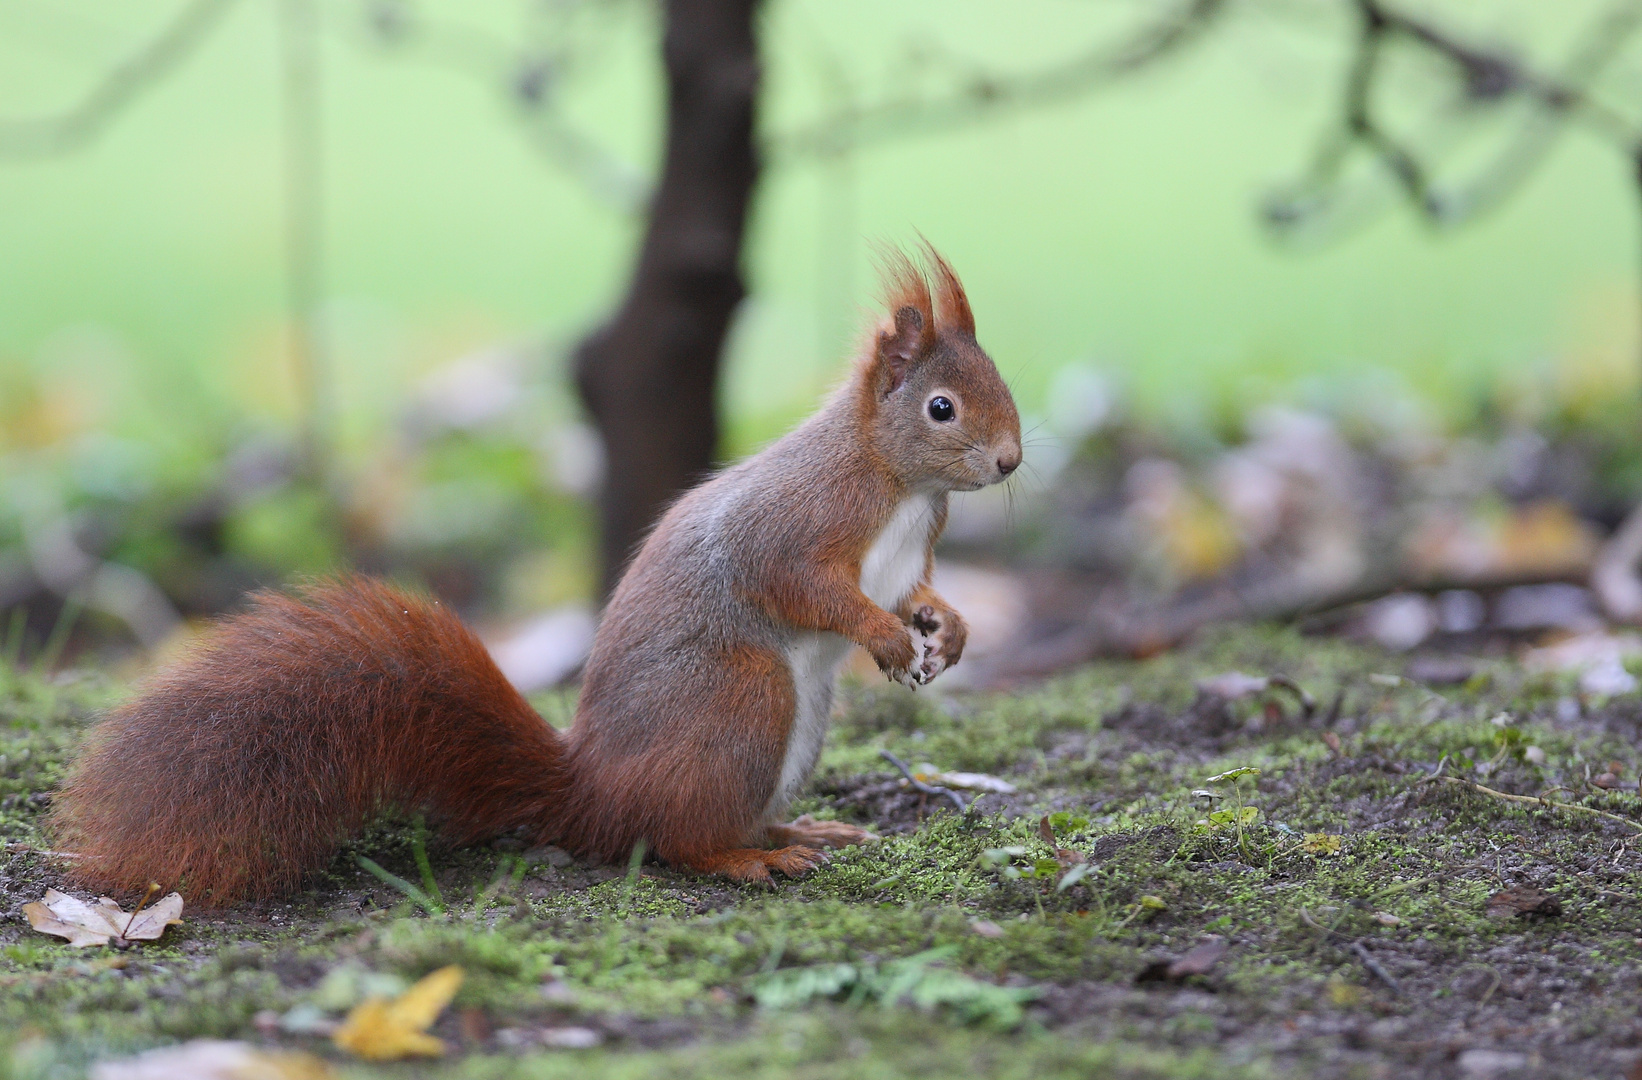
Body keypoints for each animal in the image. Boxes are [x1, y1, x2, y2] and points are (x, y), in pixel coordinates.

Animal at [48, 246, 1011, 899]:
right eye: (941, 407)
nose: (1009, 462)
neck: (899, 482)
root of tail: (593, 797)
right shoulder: (797, 522)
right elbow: (807, 588)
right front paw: (885, 637)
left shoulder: (908, 551)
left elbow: (914, 590)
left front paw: (949, 627)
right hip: (743, 697)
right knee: (674, 840)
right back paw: (749, 857)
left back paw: (799, 828)